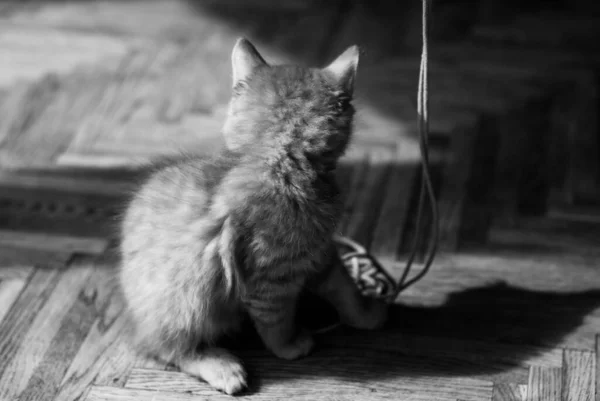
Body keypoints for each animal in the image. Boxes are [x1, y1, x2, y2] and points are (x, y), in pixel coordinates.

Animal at [118, 38, 390, 394]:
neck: (280, 162)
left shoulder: (321, 254)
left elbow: (347, 291)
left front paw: (368, 315)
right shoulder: (270, 282)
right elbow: (277, 325)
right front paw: (291, 346)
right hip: (184, 305)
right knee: (171, 350)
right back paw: (224, 367)